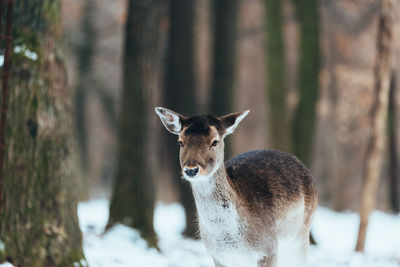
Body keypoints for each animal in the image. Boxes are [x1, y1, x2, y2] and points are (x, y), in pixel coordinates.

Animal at [155, 107, 318, 267]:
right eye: (180, 142)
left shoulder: (268, 249)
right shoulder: (218, 257)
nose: (191, 169)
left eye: (215, 141)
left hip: (301, 234)